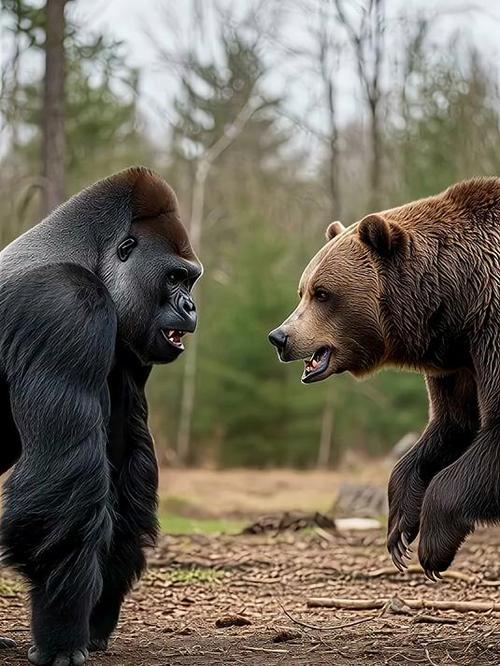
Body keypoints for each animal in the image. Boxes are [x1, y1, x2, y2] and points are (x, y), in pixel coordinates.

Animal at [269, 177, 500, 580]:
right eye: (303, 290)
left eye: (322, 293)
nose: (280, 337)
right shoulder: (459, 361)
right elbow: (452, 425)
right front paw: (399, 532)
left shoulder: (490, 327)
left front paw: (433, 548)